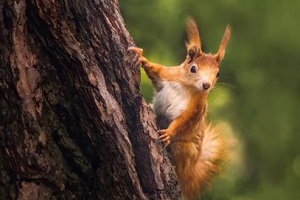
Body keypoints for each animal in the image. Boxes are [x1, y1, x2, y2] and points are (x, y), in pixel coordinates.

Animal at [128, 17, 230, 200]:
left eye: (217, 73)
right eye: (193, 68)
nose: (206, 85)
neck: (187, 86)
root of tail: (191, 172)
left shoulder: (195, 109)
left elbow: (183, 121)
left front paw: (169, 133)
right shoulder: (167, 74)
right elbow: (155, 70)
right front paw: (141, 57)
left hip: (184, 150)